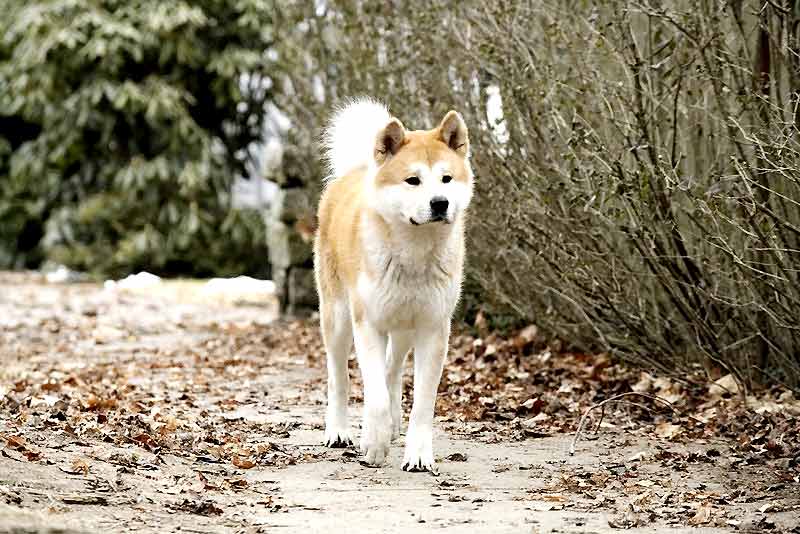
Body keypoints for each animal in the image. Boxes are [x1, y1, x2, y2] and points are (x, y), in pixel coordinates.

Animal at [314, 97, 476, 474]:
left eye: (446, 178)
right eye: (413, 180)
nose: (440, 203)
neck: (414, 252)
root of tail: (356, 172)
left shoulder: (433, 329)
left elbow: (422, 403)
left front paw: (417, 455)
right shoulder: (368, 324)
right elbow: (372, 396)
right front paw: (373, 444)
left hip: (403, 328)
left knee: (392, 369)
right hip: (338, 318)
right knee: (339, 378)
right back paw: (340, 431)